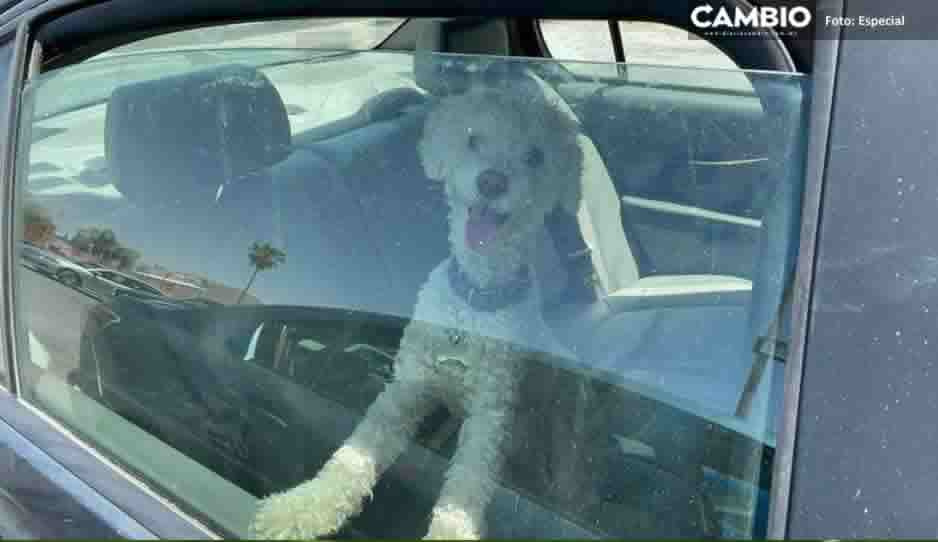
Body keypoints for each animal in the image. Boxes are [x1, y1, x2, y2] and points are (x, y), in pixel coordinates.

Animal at [252, 78, 580, 540]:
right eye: (473, 138)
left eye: (536, 155)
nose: (492, 182)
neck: (473, 300)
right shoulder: (407, 386)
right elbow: (352, 456)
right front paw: (299, 507)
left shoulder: (490, 416)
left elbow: (467, 488)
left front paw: (450, 531)